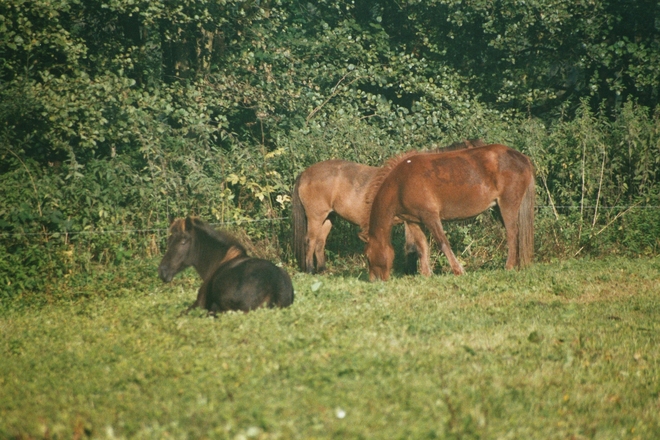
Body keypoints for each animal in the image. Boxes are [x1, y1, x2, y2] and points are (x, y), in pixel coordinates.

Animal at [290, 139, 484, 276]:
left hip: (329, 217)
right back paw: (310, 270)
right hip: (316, 216)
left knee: (320, 242)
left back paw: (323, 271)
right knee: (310, 241)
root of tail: (305, 174)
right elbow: (413, 247)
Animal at [360, 144, 536, 282]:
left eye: (368, 256)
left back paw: (509, 266)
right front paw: (426, 274)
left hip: (508, 205)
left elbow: (442, 243)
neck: (400, 183)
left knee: (512, 233)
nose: (374, 280)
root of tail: (522, 158)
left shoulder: (430, 216)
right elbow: (422, 246)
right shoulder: (413, 221)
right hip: (498, 208)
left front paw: (458, 270)